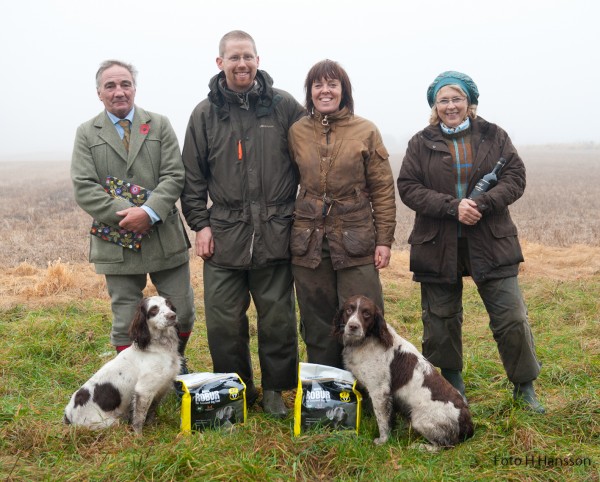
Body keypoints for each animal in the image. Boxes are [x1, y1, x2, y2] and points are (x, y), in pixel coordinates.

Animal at [64, 296, 180, 434]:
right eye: (153, 309)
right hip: (111, 422)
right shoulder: (144, 390)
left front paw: (151, 426)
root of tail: (69, 416)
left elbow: (151, 411)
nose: (172, 316)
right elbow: (139, 418)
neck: (160, 348)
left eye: (169, 305)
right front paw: (139, 435)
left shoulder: (161, 387)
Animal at [332, 296, 474, 450]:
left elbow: (382, 420)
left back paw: (419, 447)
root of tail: (467, 422)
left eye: (367, 314)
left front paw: (383, 440)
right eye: (349, 310)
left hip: (420, 419)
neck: (365, 341)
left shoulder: (379, 391)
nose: (353, 326)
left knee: (444, 445)